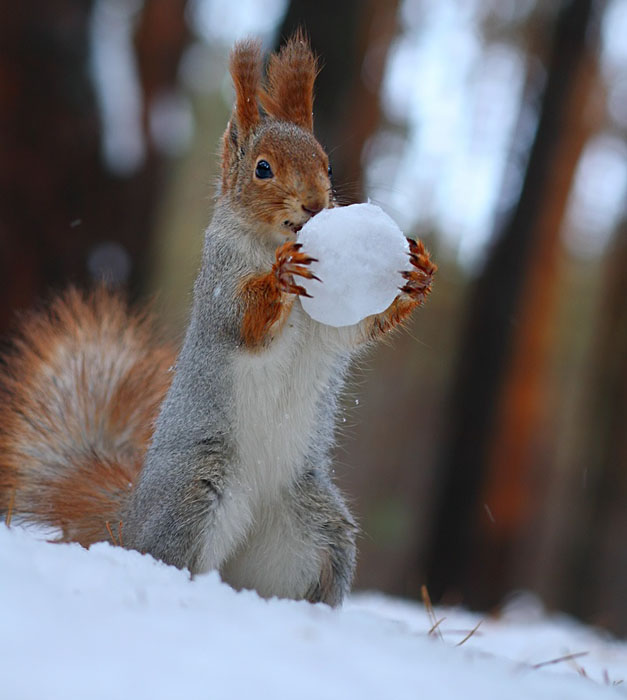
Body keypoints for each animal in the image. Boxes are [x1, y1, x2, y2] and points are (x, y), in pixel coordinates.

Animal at [0, 32, 434, 604]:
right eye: (263, 168)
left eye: (329, 166)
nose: (317, 204)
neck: (270, 241)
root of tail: (129, 518)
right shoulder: (219, 285)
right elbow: (244, 322)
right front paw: (280, 277)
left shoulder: (330, 326)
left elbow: (355, 329)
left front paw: (418, 276)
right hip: (195, 498)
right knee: (170, 552)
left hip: (316, 528)